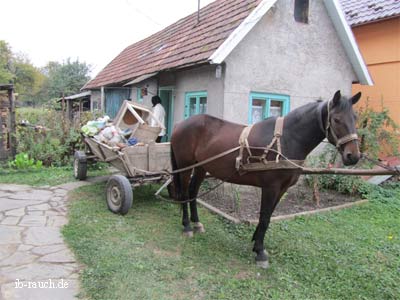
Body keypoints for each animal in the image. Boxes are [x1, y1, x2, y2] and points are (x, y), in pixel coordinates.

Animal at [170, 89, 362, 268]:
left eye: (355, 118)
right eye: (336, 119)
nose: (353, 156)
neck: (286, 140)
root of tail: (180, 125)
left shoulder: (282, 188)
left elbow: (268, 216)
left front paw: (256, 241)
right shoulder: (271, 187)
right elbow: (264, 217)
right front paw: (260, 252)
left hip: (201, 167)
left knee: (193, 192)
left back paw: (197, 223)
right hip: (185, 166)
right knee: (186, 193)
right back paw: (187, 226)